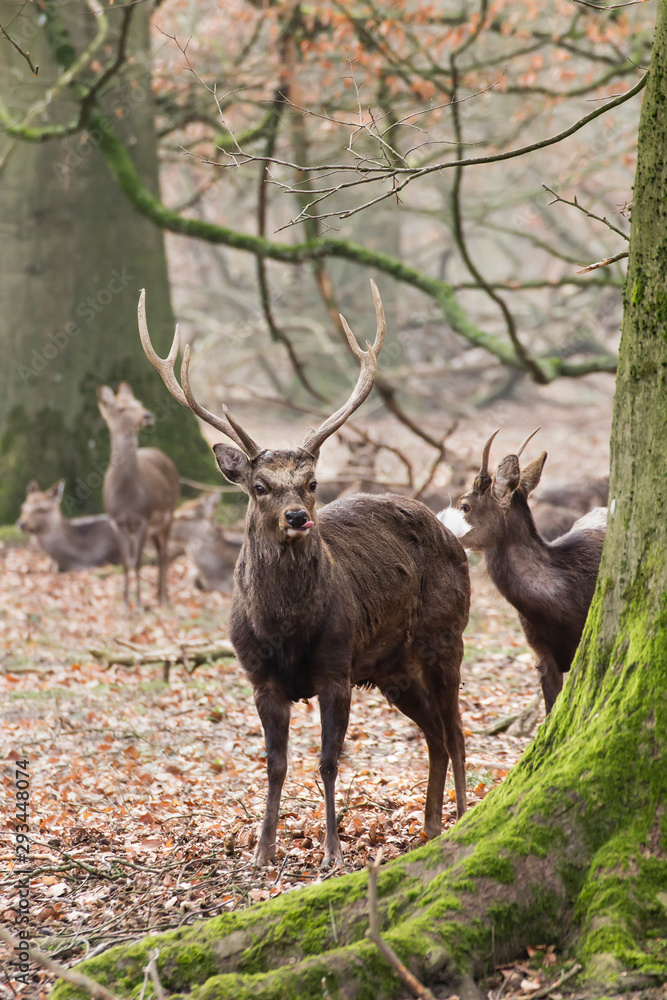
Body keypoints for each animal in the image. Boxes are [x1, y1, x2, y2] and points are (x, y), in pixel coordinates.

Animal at [97, 382, 180, 607]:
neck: (127, 498)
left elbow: (138, 562)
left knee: (164, 554)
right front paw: (126, 604)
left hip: (169, 514)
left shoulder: (144, 518)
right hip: (154, 528)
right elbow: (127, 562)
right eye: (121, 408)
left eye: (139, 402)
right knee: (160, 552)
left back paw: (163, 599)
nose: (147, 414)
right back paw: (157, 596)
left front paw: (140, 604)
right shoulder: (115, 521)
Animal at [139, 282, 470, 867]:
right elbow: (275, 763)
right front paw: (263, 849)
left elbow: (328, 760)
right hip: (393, 667)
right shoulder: (260, 678)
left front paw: (332, 852)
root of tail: (453, 531)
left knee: (455, 732)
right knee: (433, 732)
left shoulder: (336, 668)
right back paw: (430, 825)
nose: (296, 516)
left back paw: (459, 819)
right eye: (259, 486)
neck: (286, 628)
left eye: (312, 481)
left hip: (443, 636)